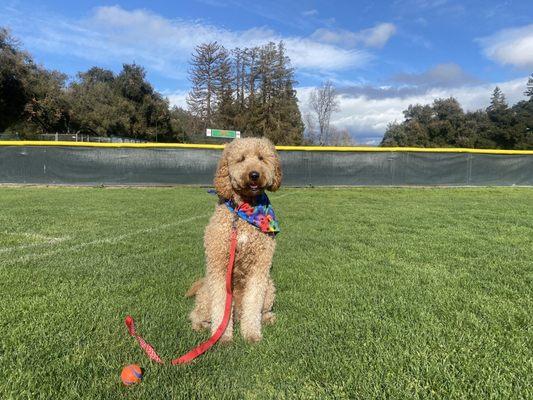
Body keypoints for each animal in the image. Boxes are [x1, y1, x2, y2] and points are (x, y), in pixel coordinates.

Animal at [185, 137, 280, 340]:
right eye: (241, 159)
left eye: (261, 158)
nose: (254, 174)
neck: (243, 211)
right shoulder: (219, 263)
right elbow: (220, 305)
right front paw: (223, 337)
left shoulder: (260, 266)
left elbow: (254, 302)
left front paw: (251, 333)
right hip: (206, 295)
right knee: (195, 313)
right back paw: (201, 325)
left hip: (269, 287)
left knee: (259, 308)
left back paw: (267, 318)